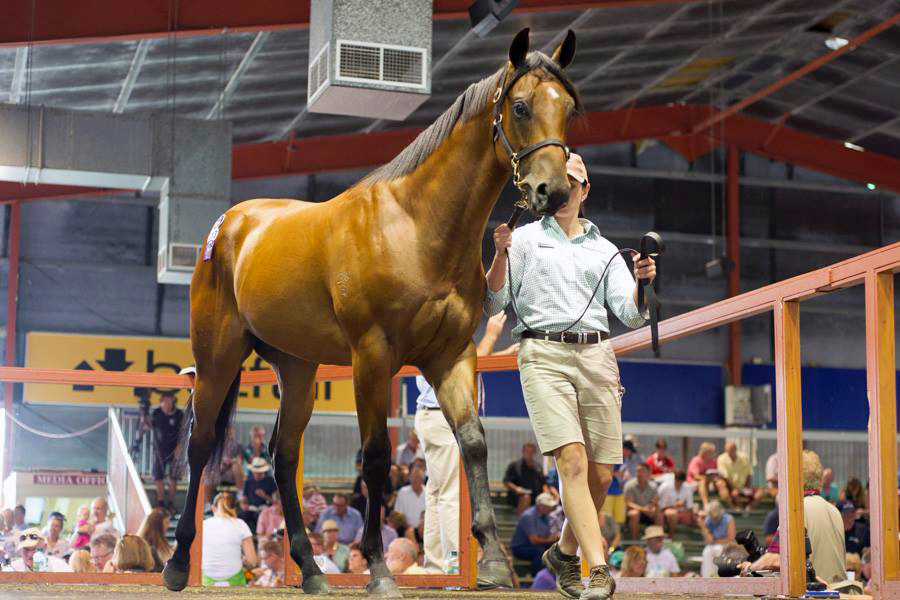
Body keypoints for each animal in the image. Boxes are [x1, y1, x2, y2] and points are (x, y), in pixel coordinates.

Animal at [162, 27, 583, 596]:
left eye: (569, 110)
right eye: (520, 107)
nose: (552, 191)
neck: (416, 227)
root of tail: (227, 226)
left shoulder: (451, 355)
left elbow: (473, 442)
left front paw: (494, 561)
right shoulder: (372, 356)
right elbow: (378, 455)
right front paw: (380, 570)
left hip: (297, 367)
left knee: (283, 456)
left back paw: (312, 571)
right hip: (217, 357)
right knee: (201, 443)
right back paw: (176, 564)